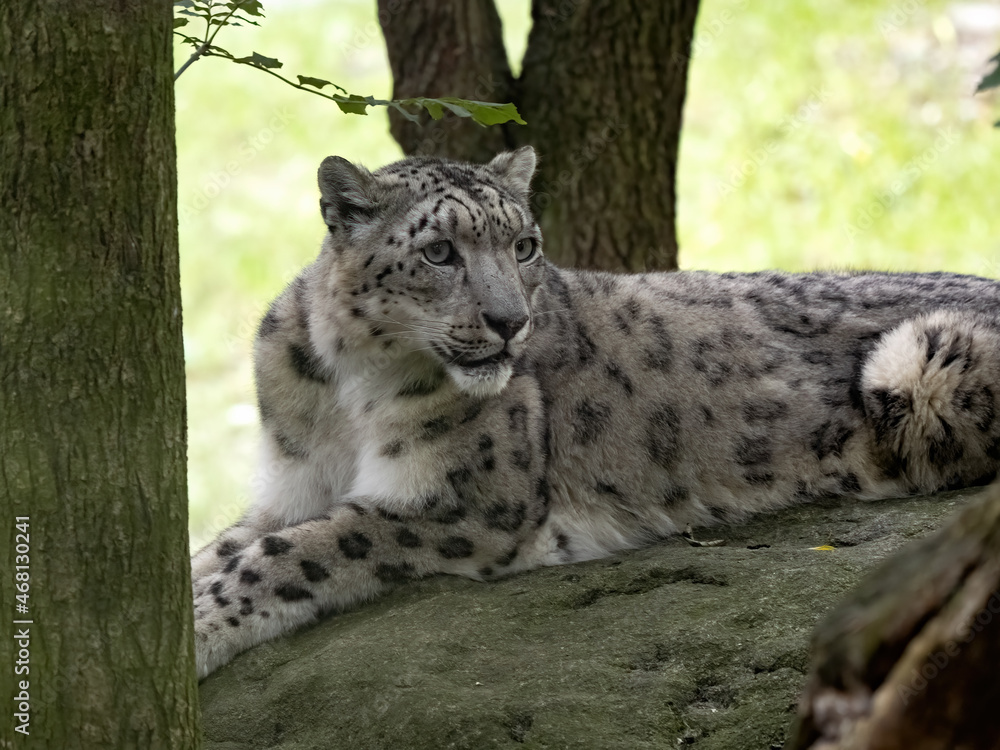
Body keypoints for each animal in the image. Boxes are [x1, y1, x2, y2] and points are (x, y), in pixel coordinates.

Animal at [191, 145, 1000, 679]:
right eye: (440, 252)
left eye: (524, 244)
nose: (509, 322)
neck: (347, 391)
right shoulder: (290, 486)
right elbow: (223, 545)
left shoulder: (468, 505)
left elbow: (299, 550)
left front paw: (203, 627)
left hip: (922, 362)